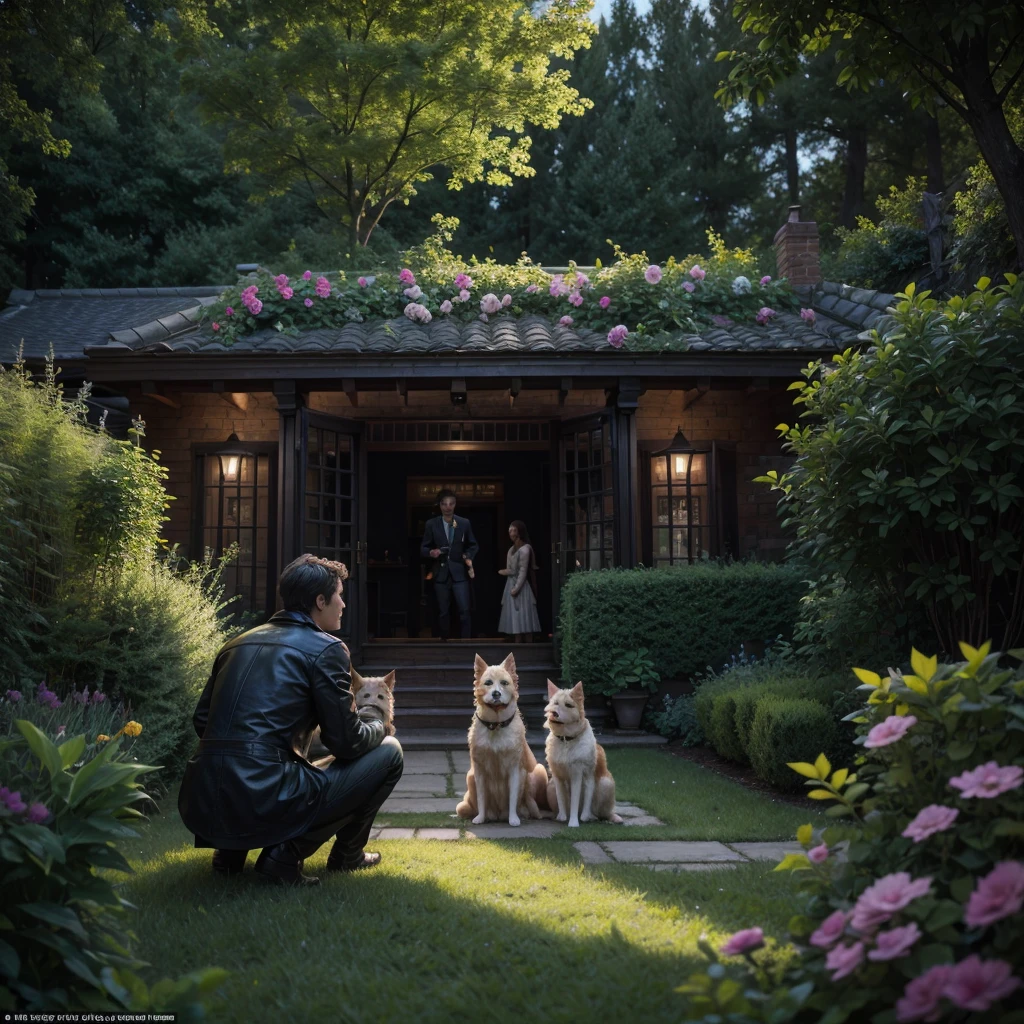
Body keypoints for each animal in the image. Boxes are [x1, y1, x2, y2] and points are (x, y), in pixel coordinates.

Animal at [458, 651, 552, 827]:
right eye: (488, 683)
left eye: (504, 683)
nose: (496, 693)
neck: (496, 724)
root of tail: (498, 815)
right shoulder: (479, 771)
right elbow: (481, 798)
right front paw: (480, 818)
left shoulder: (514, 769)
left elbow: (513, 797)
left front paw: (513, 819)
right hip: (469, 777)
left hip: (538, 770)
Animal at [544, 679, 622, 823]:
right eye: (555, 703)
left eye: (568, 705)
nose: (554, 713)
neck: (566, 740)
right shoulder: (557, 776)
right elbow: (561, 800)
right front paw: (562, 818)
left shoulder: (577, 774)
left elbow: (574, 802)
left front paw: (573, 823)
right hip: (550, 785)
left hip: (606, 783)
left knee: (602, 813)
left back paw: (596, 817)